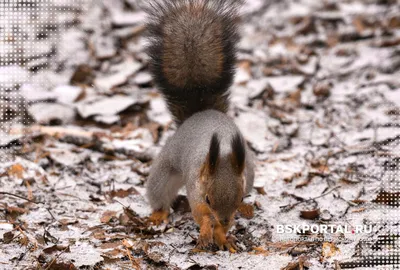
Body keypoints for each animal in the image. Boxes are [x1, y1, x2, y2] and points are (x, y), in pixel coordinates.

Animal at [145, 0, 255, 253]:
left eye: (239, 198)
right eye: (208, 199)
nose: (223, 219)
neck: (222, 152)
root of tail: (201, 113)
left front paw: (224, 237)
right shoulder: (195, 189)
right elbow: (200, 215)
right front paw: (206, 232)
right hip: (164, 172)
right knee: (160, 195)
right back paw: (158, 215)